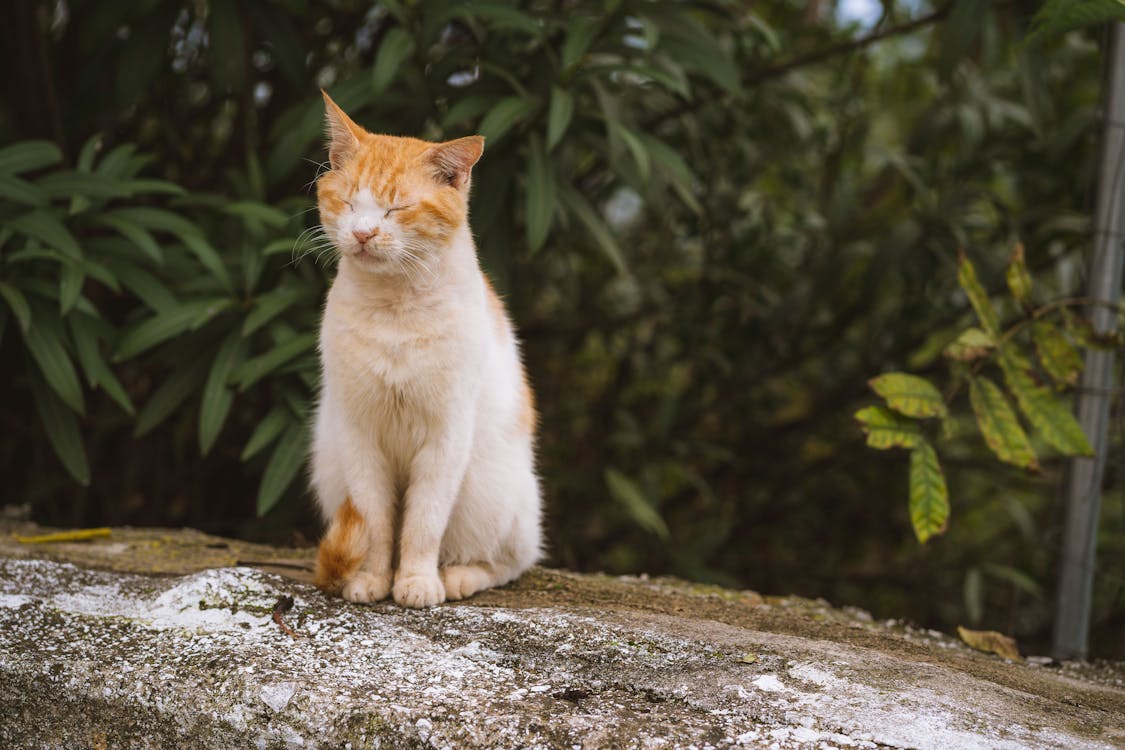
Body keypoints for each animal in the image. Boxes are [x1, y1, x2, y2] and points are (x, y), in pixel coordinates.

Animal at [306, 92, 537, 611]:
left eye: (396, 208)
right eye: (348, 201)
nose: (363, 232)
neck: (396, 309)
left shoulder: (445, 436)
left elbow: (423, 523)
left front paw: (415, 581)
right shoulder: (360, 434)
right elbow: (374, 522)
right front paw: (373, 579)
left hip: (488, 491)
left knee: (511, 561)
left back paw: (458, 577)